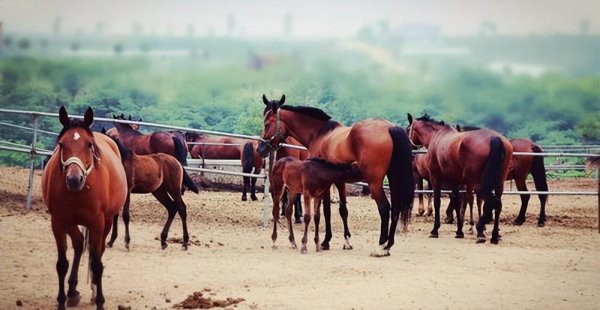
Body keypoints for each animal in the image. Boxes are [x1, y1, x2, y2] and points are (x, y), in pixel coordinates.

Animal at [41, 105, 128, 308]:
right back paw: (72, 292)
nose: (74, 179)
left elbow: (96, 264)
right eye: (61, 144)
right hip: (72, 223)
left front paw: (100, 301)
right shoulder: (58, 222)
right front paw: (61, 301)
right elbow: (62, 264)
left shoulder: (97, 223)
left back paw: (93, 293)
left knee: (97, 253)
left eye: (89, 145)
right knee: (80, 244)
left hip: (106, 223)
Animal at [255, 94, 414, 256]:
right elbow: (343, 210)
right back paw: (388, 245)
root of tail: (389, 127)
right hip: (393, 178)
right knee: (395, 208)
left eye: (266, 124)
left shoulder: (326, 184)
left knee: (384, 208)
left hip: (374, 182)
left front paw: (325, 241)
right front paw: (346, 241)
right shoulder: (339, 181)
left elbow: (326, 211)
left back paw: (381, 246)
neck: (319, 134)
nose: (260, 149)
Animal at [406, 114, 512, 245]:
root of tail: (495, 138)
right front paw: (459, 231)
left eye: (408, 129)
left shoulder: (436, 178)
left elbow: (437, 202)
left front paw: (435, 230)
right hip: (498, 184)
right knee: (497, 204)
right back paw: (494, 235)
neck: (437, 137)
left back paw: (480, 231)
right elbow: (456, 203)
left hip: (479, 184)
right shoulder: (455, 182)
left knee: (491, 202)